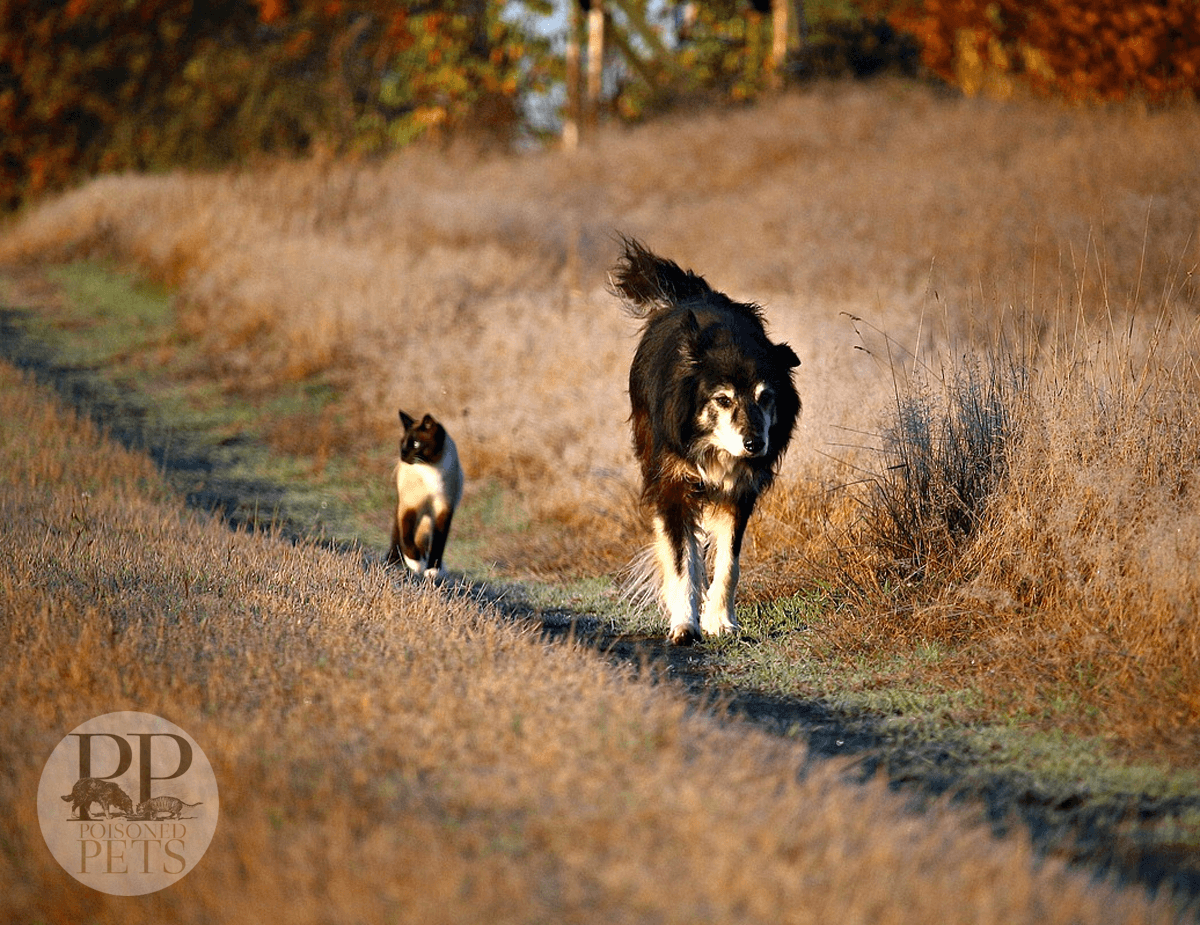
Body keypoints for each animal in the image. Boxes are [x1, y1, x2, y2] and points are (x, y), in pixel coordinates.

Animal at [388, 412, 463, 578]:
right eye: (402, 443)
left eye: (416, 444)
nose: (403, 455)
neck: (430, 468)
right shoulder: (410, 507)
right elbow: (406, 538)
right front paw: (416, 563)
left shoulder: (444, 509)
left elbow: (438, 542)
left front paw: (432, 569)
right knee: (398, 535)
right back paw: (393, 563)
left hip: (427, 520)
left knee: (422, 539)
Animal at [614, 238, 801, 643]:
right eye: (723, 400)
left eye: (766, 397)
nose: (755, 445)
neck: (714, 448)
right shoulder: (673, 483)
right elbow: (681, 560)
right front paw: (685, 625)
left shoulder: (739, 492)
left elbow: (729, 562)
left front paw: (722, 622)